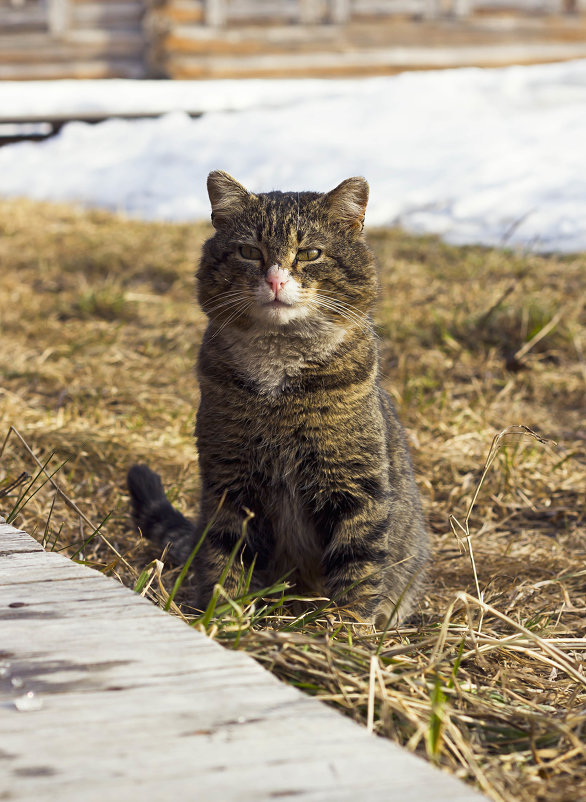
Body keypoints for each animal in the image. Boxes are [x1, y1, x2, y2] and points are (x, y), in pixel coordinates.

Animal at [128, 170, 426, 624]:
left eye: (310, 253)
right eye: (249, 251)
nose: (275, 279)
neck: (278, 371)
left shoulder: (355, 485)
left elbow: (358, 568)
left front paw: (347, 629)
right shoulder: (229, 484)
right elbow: (226, 558)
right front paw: (222, 614)